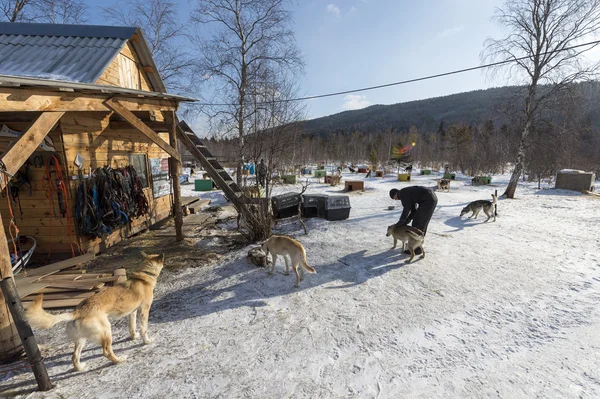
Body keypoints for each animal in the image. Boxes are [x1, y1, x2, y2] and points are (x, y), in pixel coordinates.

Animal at [24, 253, 165, 372]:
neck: (143, 276)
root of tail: (77, 311)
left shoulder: (133, 312)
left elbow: (132, 326)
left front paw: (134, 336)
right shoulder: (144, 311)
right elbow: (143, 329)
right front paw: (146, 341)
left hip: (81, 340)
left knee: (74, 357)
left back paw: (80, 368)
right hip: (106, 331)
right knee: (106, 352)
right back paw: (119, 360)